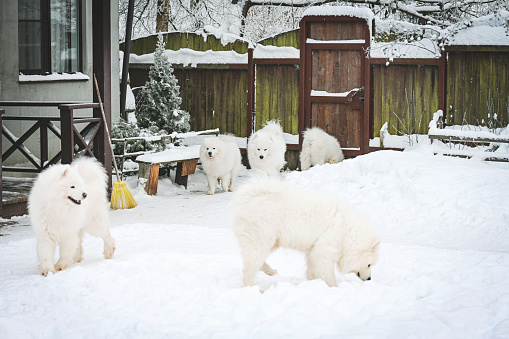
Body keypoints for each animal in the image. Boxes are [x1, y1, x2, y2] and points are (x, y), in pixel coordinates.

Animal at [232, 177, 380, 288]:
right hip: (260, 239)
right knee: (249, 268)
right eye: (369, 264)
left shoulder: (313, 250)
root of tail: (250, 197)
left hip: (271, 242)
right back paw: (253, 288)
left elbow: (312, 270)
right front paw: (333, 287)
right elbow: (327, 273)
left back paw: (270, 271)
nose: (369, 279)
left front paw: (313, 283)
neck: (345, 231)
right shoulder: (324, 250)